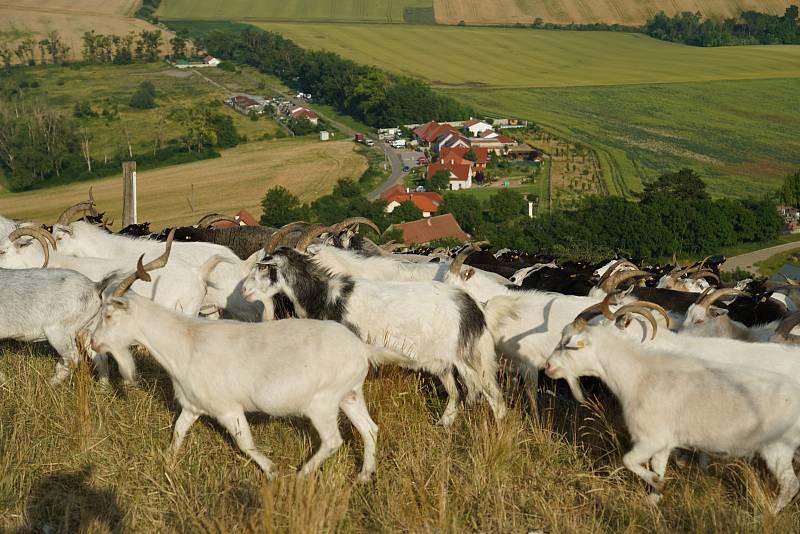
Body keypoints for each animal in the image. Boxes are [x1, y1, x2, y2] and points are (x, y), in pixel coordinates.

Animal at [90, 251, 388, 482]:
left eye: (109, 315)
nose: (93, 342)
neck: (187, 342)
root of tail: (362, 349)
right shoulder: (193, 406)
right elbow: (178, 431)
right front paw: (168, 464)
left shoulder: (228, 408)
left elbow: (245, 443)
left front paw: (272, 472)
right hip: (350, 395)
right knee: (369, 429)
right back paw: (364, 475)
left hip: (322, 403)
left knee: (333, 440)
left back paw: (301, 474)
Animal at [239, 249, 512, 430]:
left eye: (263, 267)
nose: (244, 290)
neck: (325, 295)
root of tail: (475, 307)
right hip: (444, 362)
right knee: (458, 394)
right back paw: (444, 424)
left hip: (470, 360)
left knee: (495, 398)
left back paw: (497, 431)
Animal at [548, 302, 800, 516]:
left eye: (569, 343)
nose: (549, 366)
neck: (638, 374)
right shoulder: (664, 444)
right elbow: (657, 466)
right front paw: (654, 497)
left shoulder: (651, 439)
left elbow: (628, 460)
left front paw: (658, 485)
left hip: (777, 448)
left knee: (790, 484)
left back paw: (767, 514)